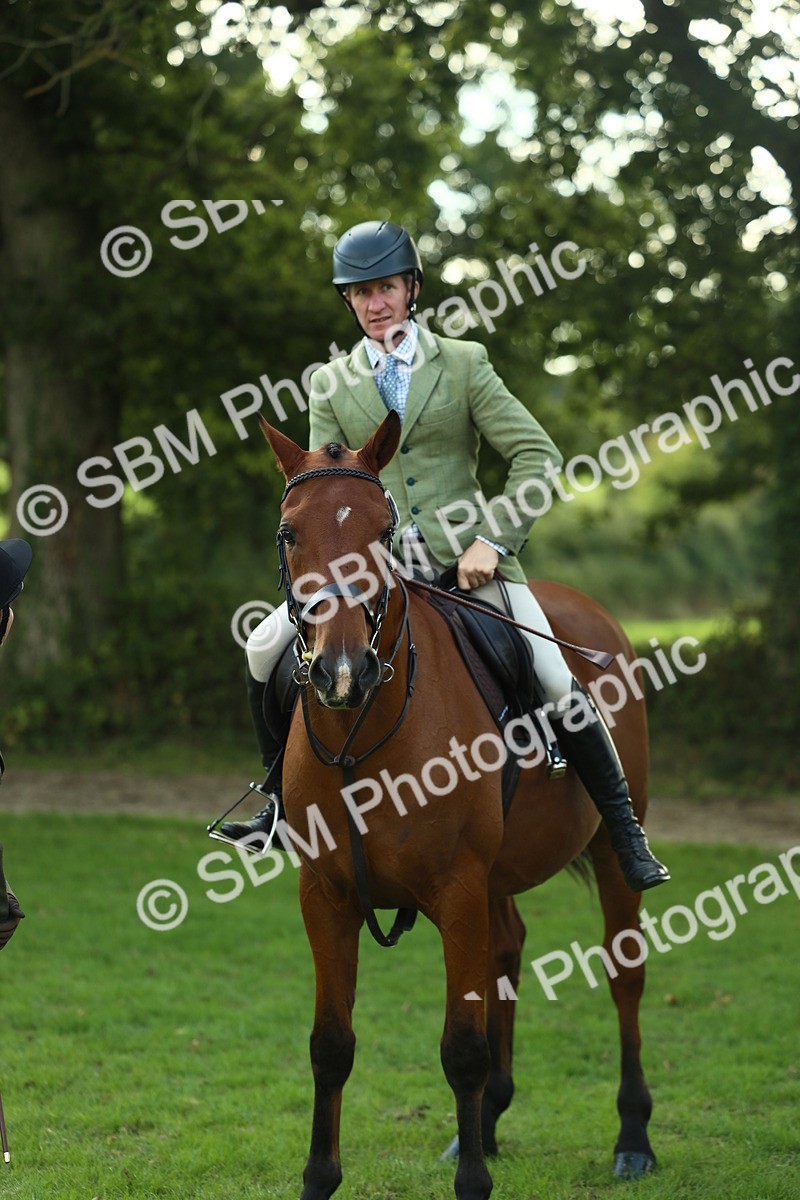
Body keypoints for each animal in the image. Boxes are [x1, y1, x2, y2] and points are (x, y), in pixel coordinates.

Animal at [259, 409, 657, 1200]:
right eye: (290, 532)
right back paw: (492, 1122)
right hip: (495, 878)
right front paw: (319, 1177)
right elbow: (330, 1045)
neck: (362, 737)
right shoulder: (326, 895)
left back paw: (633, 1138)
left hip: (601, 852)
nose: (342, 672)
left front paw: (474, 1182)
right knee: (508, 950)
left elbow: (462, 1050)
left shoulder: (458, 889)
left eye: (383, 530)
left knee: (624, 972)